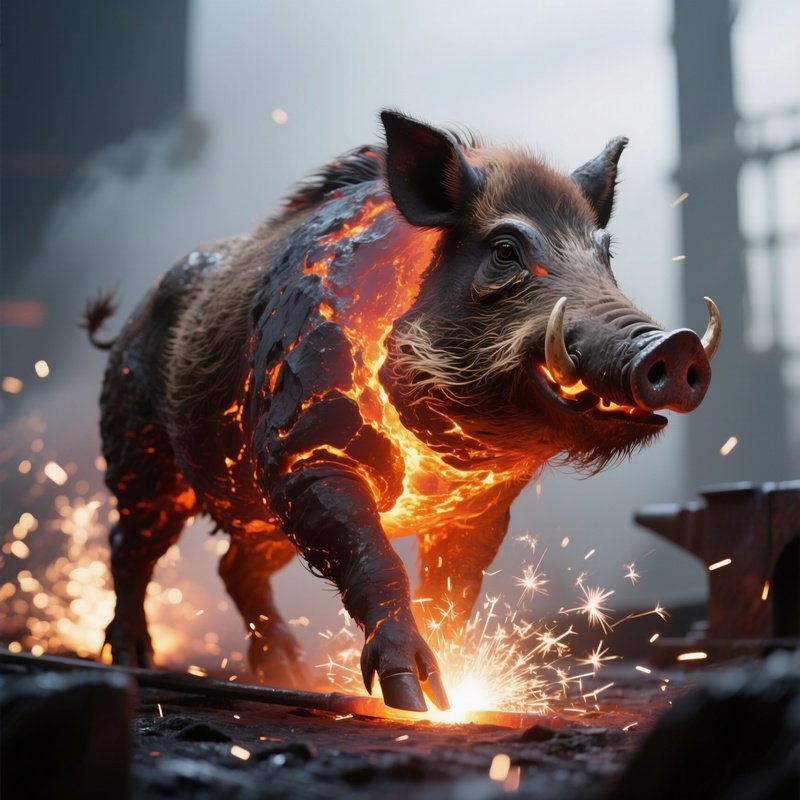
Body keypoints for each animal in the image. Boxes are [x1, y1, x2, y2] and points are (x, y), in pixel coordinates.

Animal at [84, 111, 720, 712]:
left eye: (605, 255)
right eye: (505, 251)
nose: (675, 344)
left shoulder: (480, 510)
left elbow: (452, 593)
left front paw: (456, 696)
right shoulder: (305, 457)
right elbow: (378, 558)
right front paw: (412, 700)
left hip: (257, 513)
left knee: (234, 568)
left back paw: (290, 674)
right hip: (140, 456)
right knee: (130, 544)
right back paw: (133, 659)